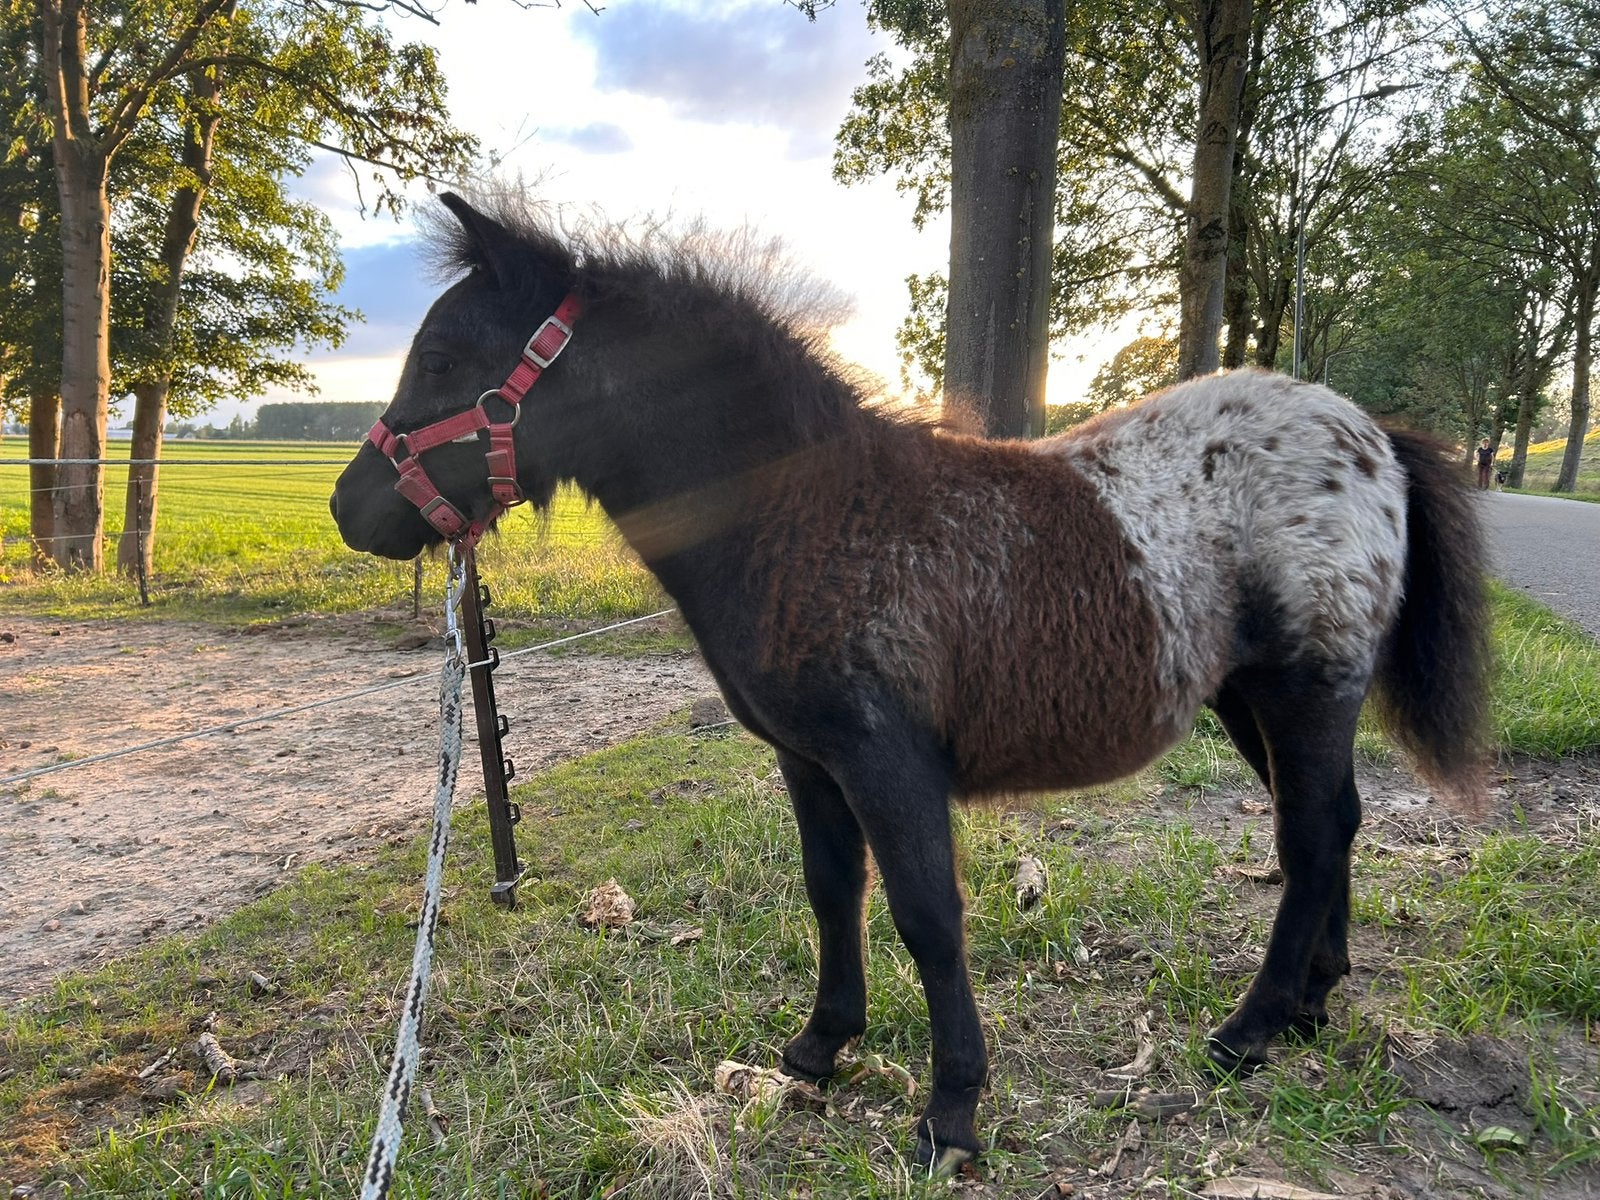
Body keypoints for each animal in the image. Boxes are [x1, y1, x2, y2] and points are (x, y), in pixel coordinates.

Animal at [331, 192, 1492, 1173]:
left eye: (444, 356)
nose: (351, 509)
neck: (812, 515)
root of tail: (1372, 435)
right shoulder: (810, 763)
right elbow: (830, 890)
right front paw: (820, 1046)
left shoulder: (889, 764)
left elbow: (928, 916)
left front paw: (952, 1114)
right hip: (1250, 701)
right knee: (1333, 824)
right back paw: (1310, 1002)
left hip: (1304, 690)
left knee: (1310, 837)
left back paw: (1251, 1028)